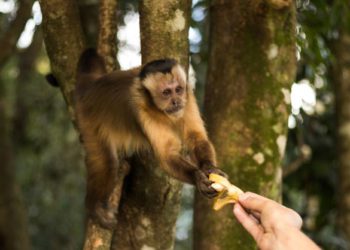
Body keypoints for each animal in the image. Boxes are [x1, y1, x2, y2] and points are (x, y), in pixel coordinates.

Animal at [74, 48, 227, 229]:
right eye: (166, 93)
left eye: (178, 89)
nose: (176, 101)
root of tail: (92, 87)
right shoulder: (141, 108)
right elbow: (167, 155)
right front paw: (198, 177)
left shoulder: (188, 98)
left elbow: (196, 138)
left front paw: (210, 168)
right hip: (88, 119)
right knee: (108, 163)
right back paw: (92, 206)